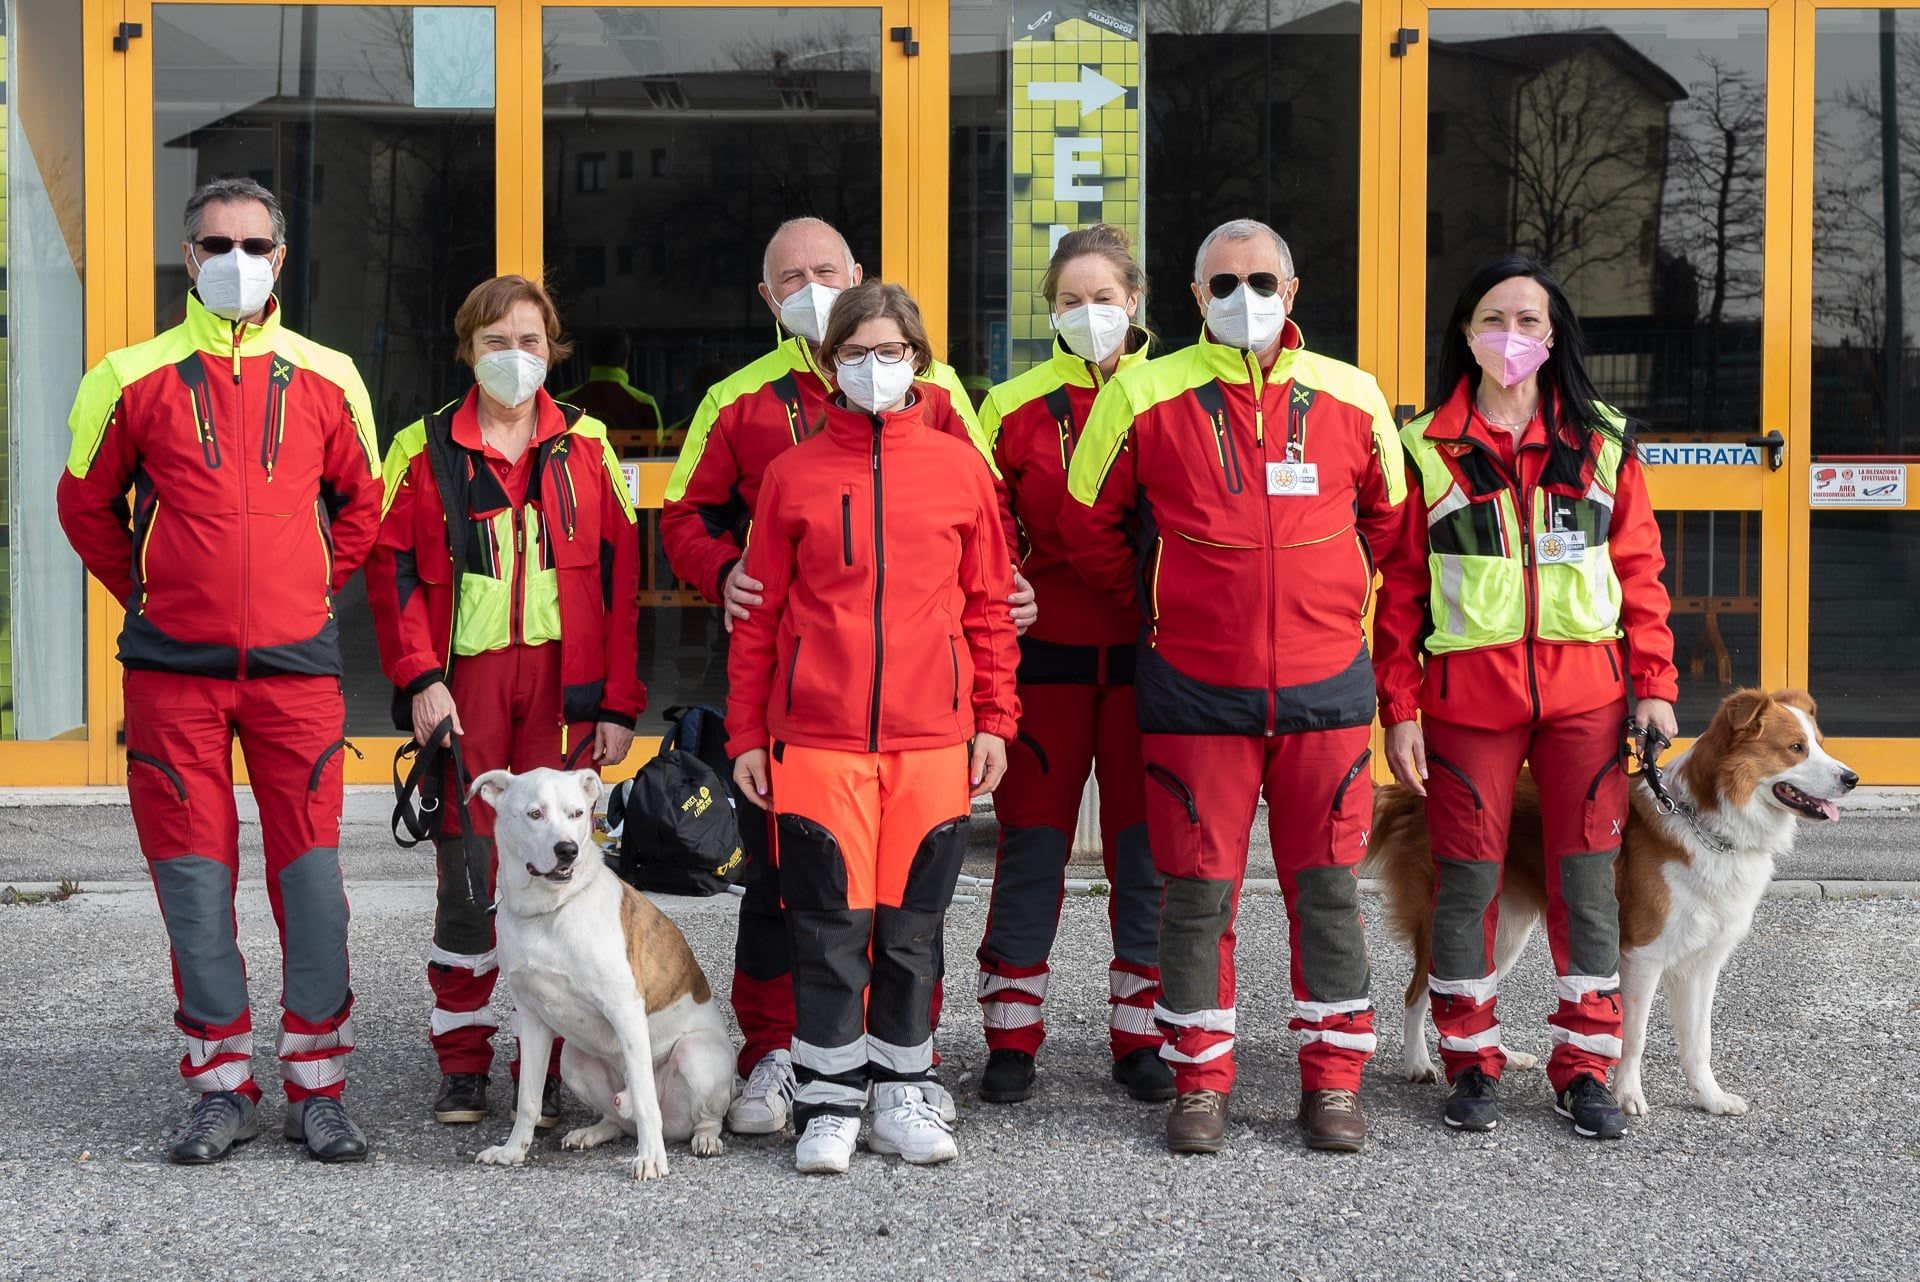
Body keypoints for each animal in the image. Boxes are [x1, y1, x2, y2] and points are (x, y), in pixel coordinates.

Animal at [470, 767, 734, 1180]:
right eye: (535, 814)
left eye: (578, 813)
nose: (567, 850)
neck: (550, 910)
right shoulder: (532, 1018)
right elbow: (529, 1099)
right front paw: (513, 1152)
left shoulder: (625, 1010)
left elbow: (645, 1100)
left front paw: (651, 1160)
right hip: (572, 1059)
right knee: (619, 1120)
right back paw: (592, 1133)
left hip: (695, 1053)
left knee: (700, 1117)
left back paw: (704, 1139)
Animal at [1367, 688, 1857, 1117]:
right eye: (1795, 748)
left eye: (1818, 743)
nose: (1852, 779)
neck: (1709, 824)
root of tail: (1416, 790)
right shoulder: (1643, 954)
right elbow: (1634, 1036)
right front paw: (1626, 1096)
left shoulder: (1703, 962)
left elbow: (1699, 1041)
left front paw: (1709, 1097)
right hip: (1451, 916)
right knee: (1418, 993)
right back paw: (1418, 1063)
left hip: (1506, 930)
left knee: (1475, 987)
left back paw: (1501, 1054)